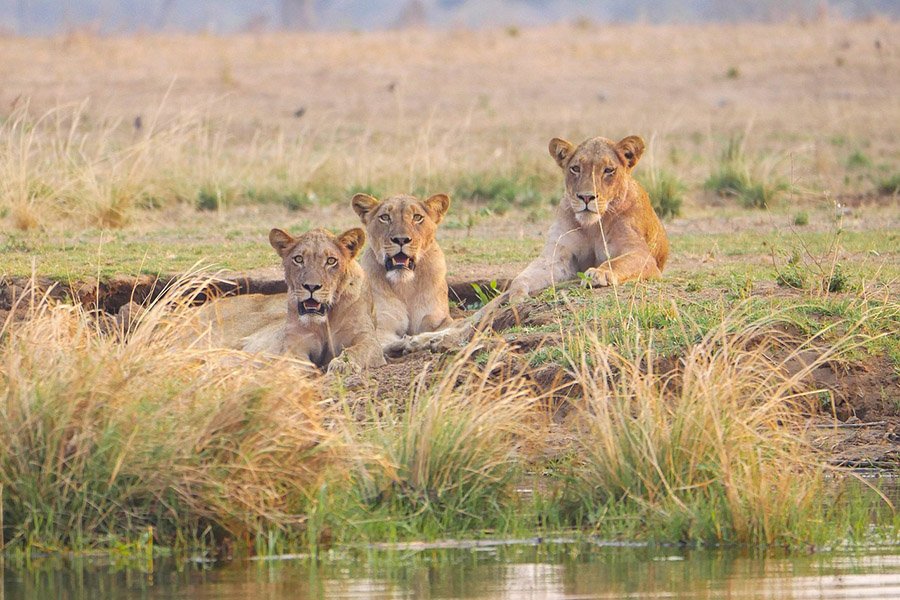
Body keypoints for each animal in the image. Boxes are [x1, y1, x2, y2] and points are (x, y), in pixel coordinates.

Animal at [193, 227, 386, 373]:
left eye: (331, 261)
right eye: (298, 259)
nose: (311, 287)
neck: (326, 320)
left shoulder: (367, 339)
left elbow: (357, 350)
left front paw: (343, 365)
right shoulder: (295, 343)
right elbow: (294, 360)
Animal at [351, 192, 454, 346]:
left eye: (417, 217)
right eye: (385, 217)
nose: (401, 240)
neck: (405, 286)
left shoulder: (437, 318)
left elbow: (451, 327)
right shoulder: (382, 323)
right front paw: (410, 341)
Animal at [386, 134, 669, 355]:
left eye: (608, 170)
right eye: (576, 168)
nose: (586, 197)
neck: (592, 224)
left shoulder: (642, 256)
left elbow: (618, 262)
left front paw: (599, 274)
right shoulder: (559, 258)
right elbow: (526, 277)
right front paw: (519, 292)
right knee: (467, 323)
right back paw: (418, 342)